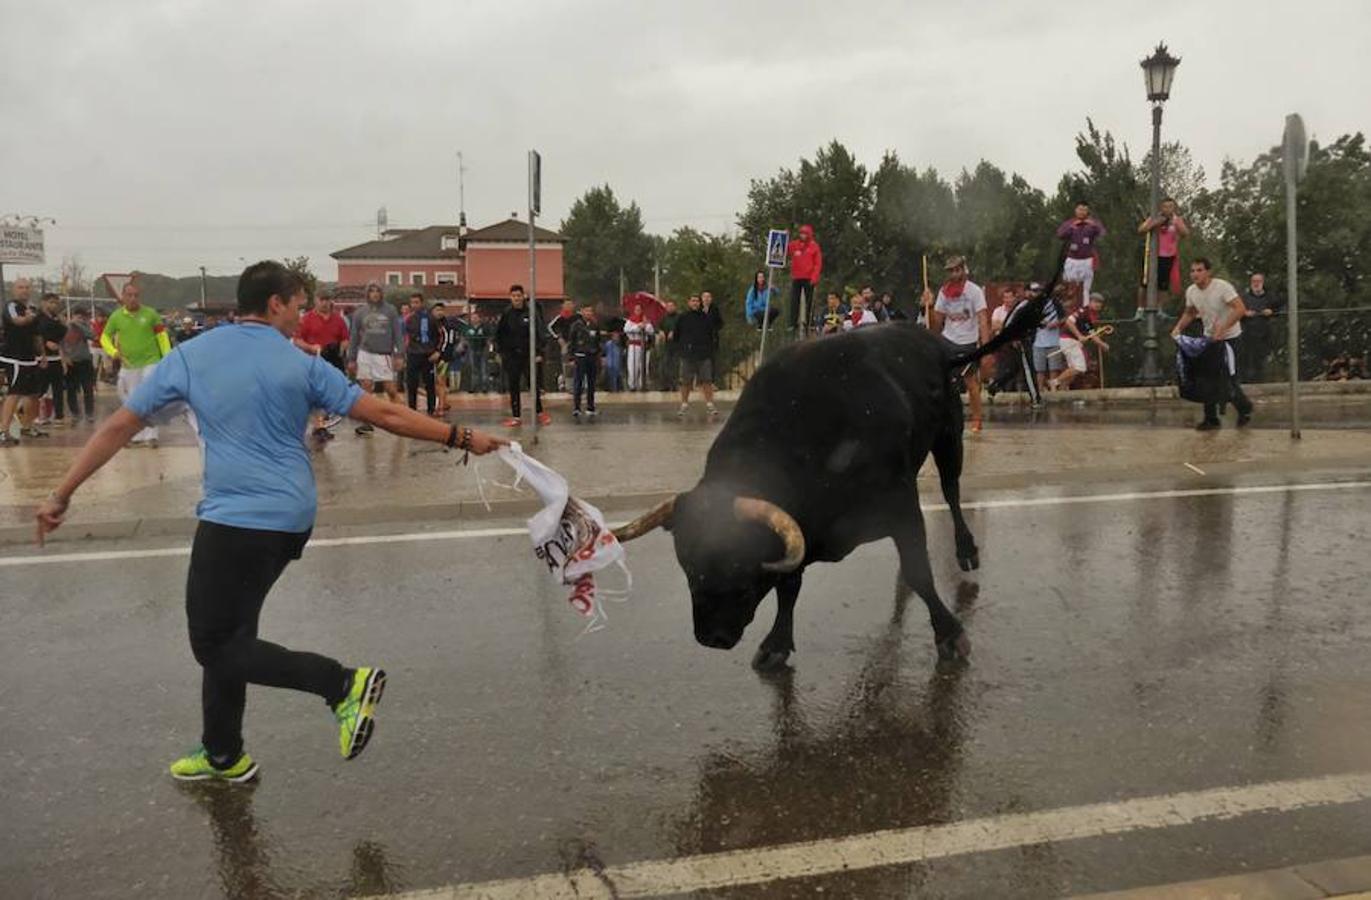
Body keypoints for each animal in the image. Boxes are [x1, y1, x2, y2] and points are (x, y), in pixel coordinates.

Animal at [616, 299, 1041, 672]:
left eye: (740, 563)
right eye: (687, 564)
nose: (712, 636)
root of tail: (933, 342)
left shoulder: (899, 501)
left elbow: (921, 572)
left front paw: (950, 635)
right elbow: (789, 586)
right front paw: (776, 644)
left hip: (949, 435)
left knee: (952, 491)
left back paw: (966, 550)